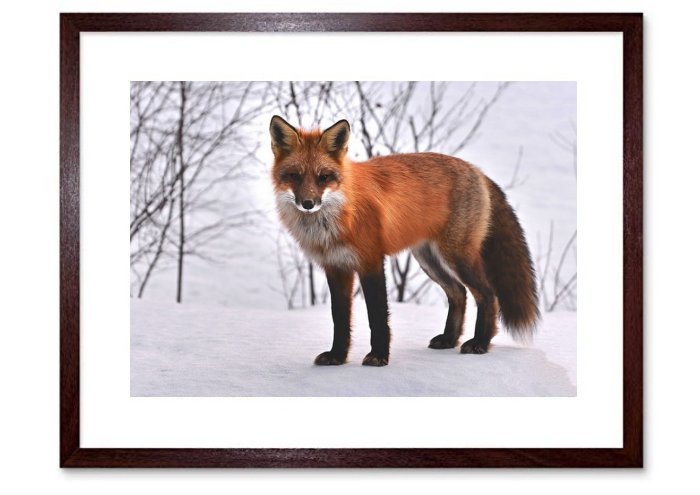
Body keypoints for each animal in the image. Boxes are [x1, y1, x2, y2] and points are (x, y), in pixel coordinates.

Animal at [269, 115, 539, 367]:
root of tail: (477, 170)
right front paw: (337, 356)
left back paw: (480, 342)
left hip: (456, 257)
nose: (308, 203)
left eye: (323, 177)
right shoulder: (336, 267)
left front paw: (378, 356)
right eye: (294, 176)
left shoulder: (371, 261)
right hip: (429, 260)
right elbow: (340, 319)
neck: (339, 216)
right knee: (458, 293)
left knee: (488, 294)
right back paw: (449, 339)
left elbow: (377, 316)